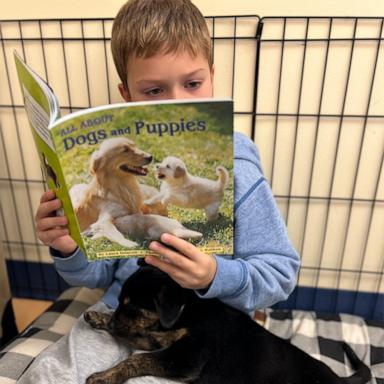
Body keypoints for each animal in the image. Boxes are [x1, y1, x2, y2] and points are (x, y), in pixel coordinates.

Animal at [83, 268, 368, 384]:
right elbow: (137, 336)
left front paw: (105, 376)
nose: (113, 322)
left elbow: (137, 359)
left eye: (132, 307)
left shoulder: (187, 358)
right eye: (120, 302)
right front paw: (98, 317)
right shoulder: (164, 340)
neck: (187, 311)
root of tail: (337, 379)